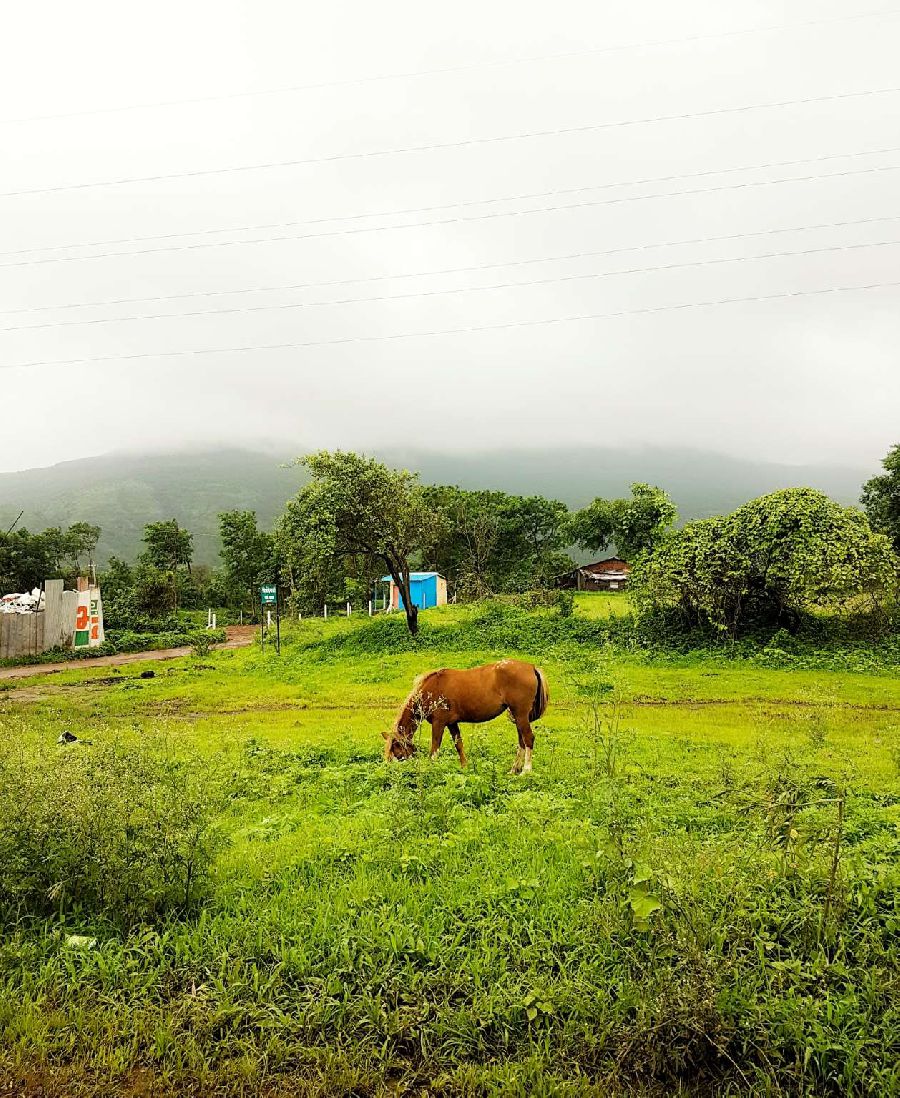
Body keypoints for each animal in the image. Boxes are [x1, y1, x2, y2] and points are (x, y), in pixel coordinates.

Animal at [381, 658, 548, 772]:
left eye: (396, 748)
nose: (390, 768)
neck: (430, 689)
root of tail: (531, 667)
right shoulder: (451, 724)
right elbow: (459, 745)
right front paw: (464, 767)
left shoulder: (439, 723)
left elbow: (435, 747)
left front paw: (431, 768)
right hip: (518, 716)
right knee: (522, 741)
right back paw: (513, 770)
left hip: (520, 715)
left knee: (528, 739)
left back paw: (525, 771)